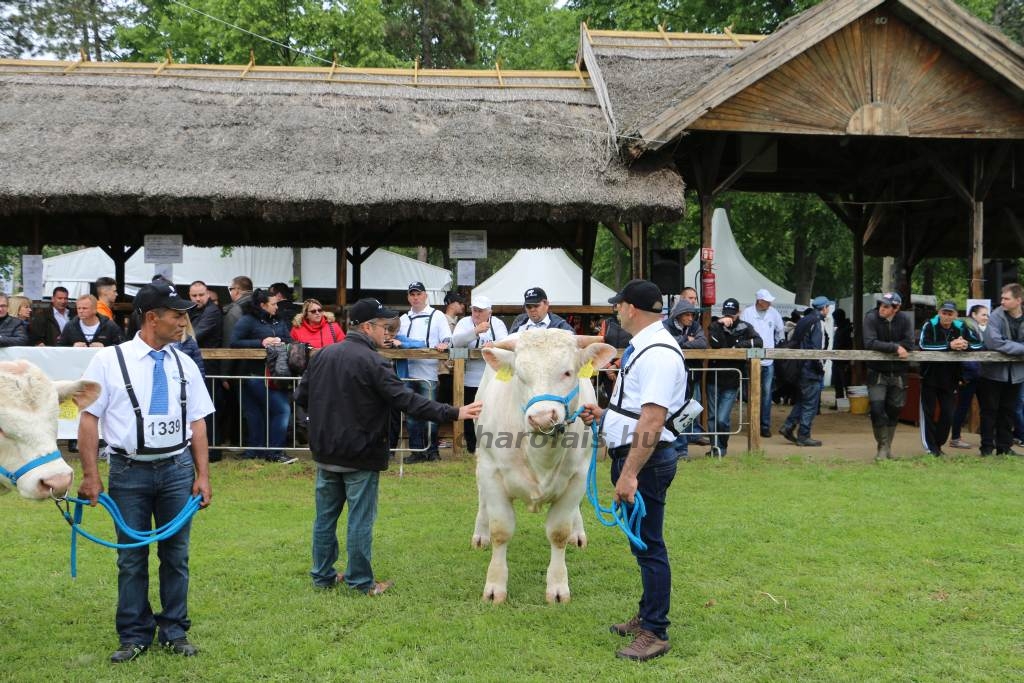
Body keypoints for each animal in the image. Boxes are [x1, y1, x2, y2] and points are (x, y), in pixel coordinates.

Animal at [473, 331, 614, 602]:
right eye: (519, 375)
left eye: (568, 372)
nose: (541, 418)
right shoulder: (492, 472)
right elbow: (501, 530)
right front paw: (495, 586)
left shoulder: (577, 476)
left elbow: (559, 531)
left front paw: (558, 587)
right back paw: (480, 535)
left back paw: (577, 534)